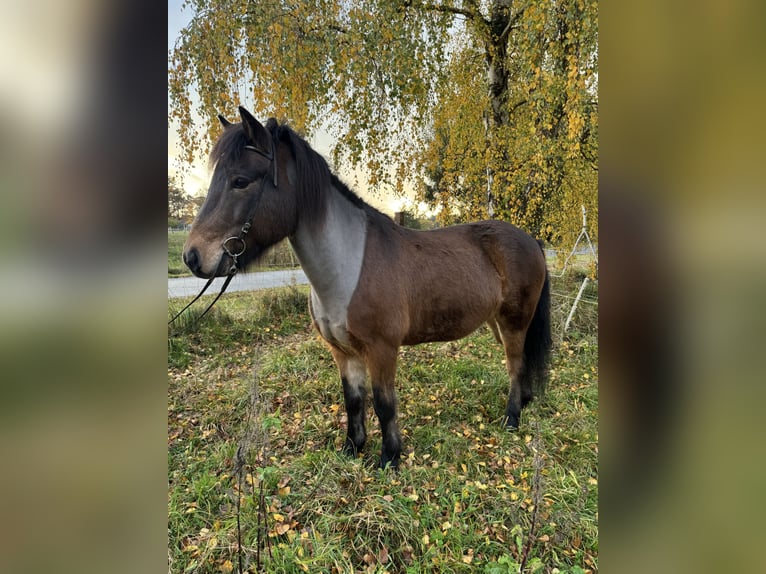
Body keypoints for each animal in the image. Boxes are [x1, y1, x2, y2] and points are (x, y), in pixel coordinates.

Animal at [183, 106, 552, 469]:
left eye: (240, 181)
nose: (193, 256)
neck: (348, 267)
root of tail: (530, 240)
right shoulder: (343, 352)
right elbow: (354, 401)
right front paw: (353, 448)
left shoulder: (382, 349)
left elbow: (384, 404)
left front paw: (390, 458)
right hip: (497, 323)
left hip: (514, 322)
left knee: (515, 365)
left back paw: (511, 418)